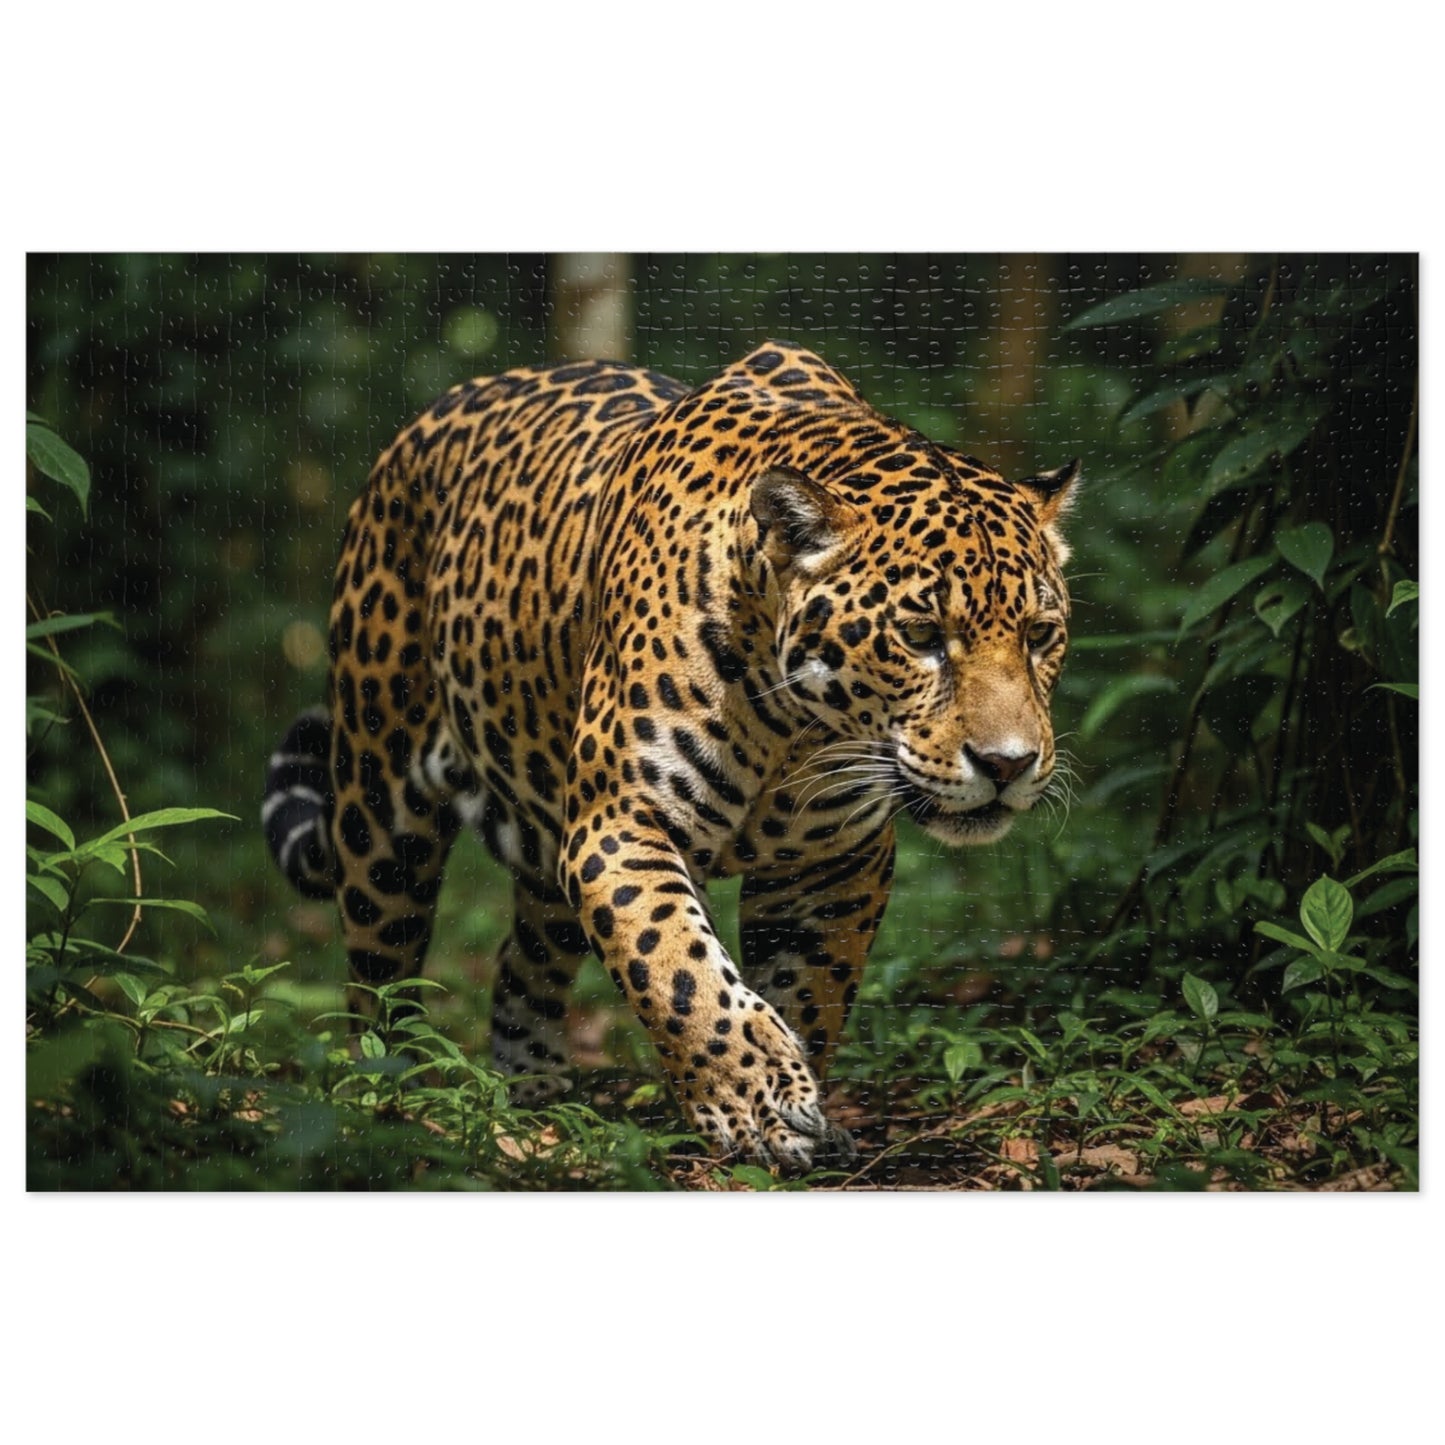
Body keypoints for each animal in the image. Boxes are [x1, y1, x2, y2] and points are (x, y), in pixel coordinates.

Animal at [264, 340, 1078, 1172]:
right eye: (919, 637)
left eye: (1040, 635)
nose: (1008, 764)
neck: (794, 724)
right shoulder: (620, 822)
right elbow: (678, 965)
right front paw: (757, 1104)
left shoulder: (835, 861)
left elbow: (809, 987)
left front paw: (803, 1108)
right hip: (379, 808)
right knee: (378, 978)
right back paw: (384, 1097)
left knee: (524, 959)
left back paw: (534, 1091)